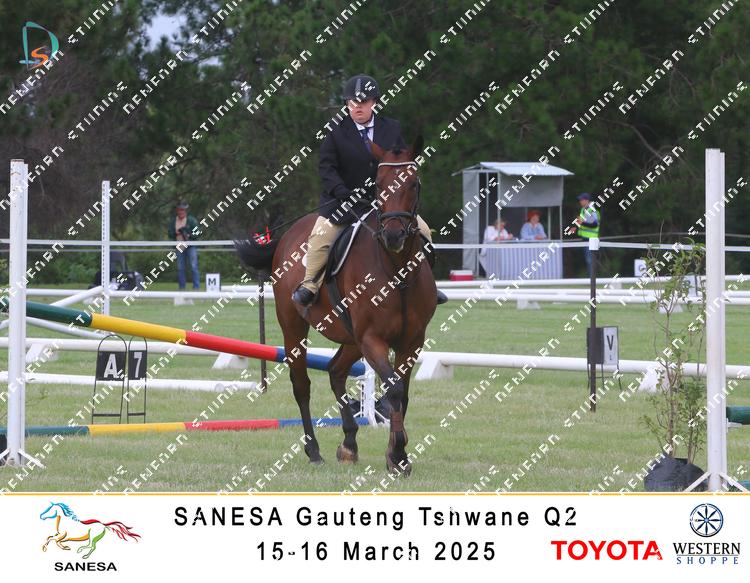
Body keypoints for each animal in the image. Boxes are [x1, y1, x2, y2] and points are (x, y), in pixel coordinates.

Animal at [235, 137, 436, 475]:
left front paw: (397, 454)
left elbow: (402, 394)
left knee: (335, 370)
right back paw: (314, 450)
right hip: (294, 324)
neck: (396, 269)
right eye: (378, 184)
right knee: (301, 384)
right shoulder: (372, 338)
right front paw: (398, 454)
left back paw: (349, 444)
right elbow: (394, 389)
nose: (394, 235)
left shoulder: (412, 340)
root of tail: (287, 236)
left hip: (351, 338)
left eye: (414, 183)